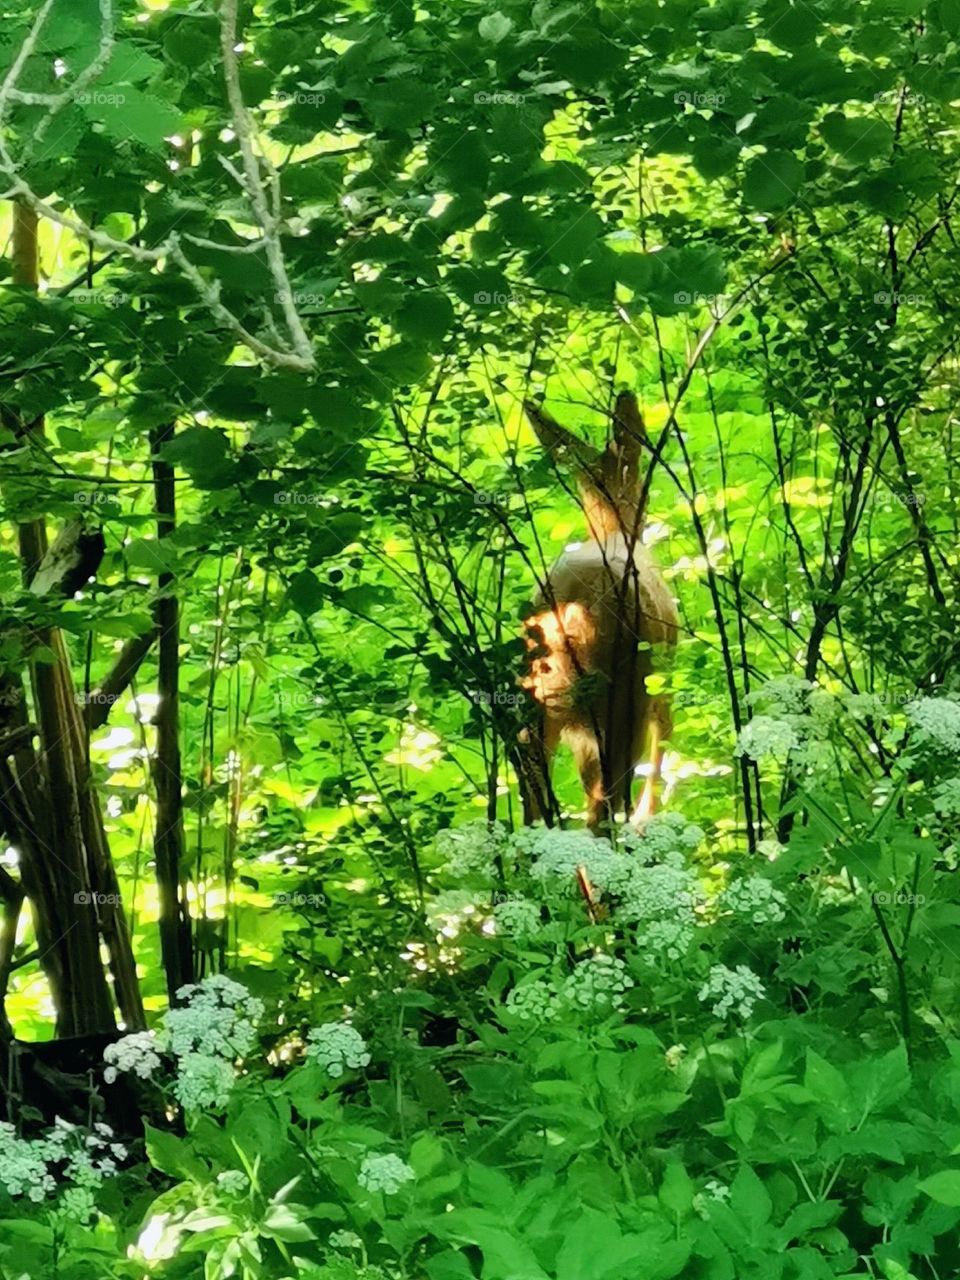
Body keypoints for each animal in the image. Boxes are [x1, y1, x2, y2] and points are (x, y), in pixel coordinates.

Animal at [518, 390, 678, 832]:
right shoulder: (662, 683)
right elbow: (663, 749)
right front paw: (647, 818)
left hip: (533, 697)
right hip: (625, 690)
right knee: (603, 805)